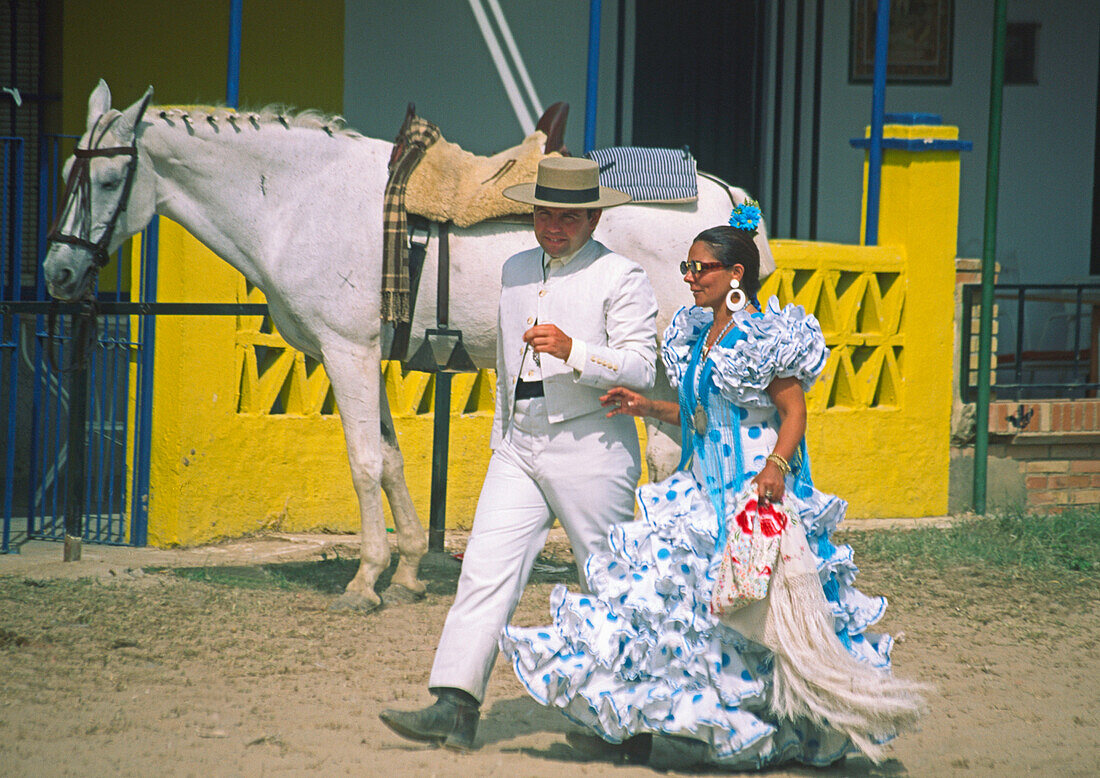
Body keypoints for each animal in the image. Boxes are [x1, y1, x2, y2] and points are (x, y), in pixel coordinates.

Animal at [42, 80, 774, 616]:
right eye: (67, 173)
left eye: (107, 182)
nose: (58, 273)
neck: (300, 200)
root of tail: (725, 198)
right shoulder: (362, 357)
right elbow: (391, 460)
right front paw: (407, 573)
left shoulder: (347, 351)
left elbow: (364, 460)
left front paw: (365, 581)